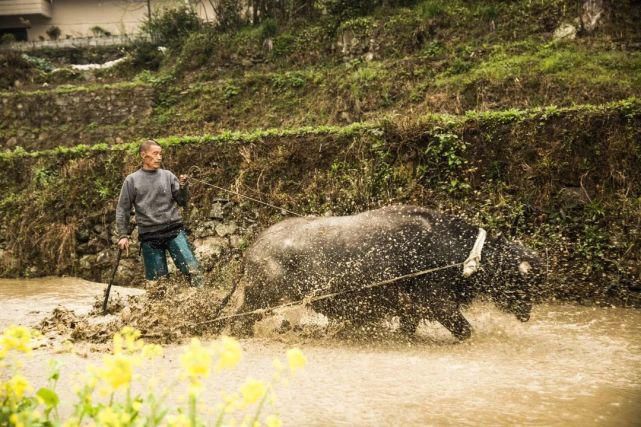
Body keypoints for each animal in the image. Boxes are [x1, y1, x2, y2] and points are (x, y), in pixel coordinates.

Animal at [229, 206, 540, 340]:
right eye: (521, 280)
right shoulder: (438, 302)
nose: (527, 313)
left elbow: (408, 327)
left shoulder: (410, 308)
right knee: (239, 317)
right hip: (262, 298)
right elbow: (464, 330)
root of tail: (254, 246)